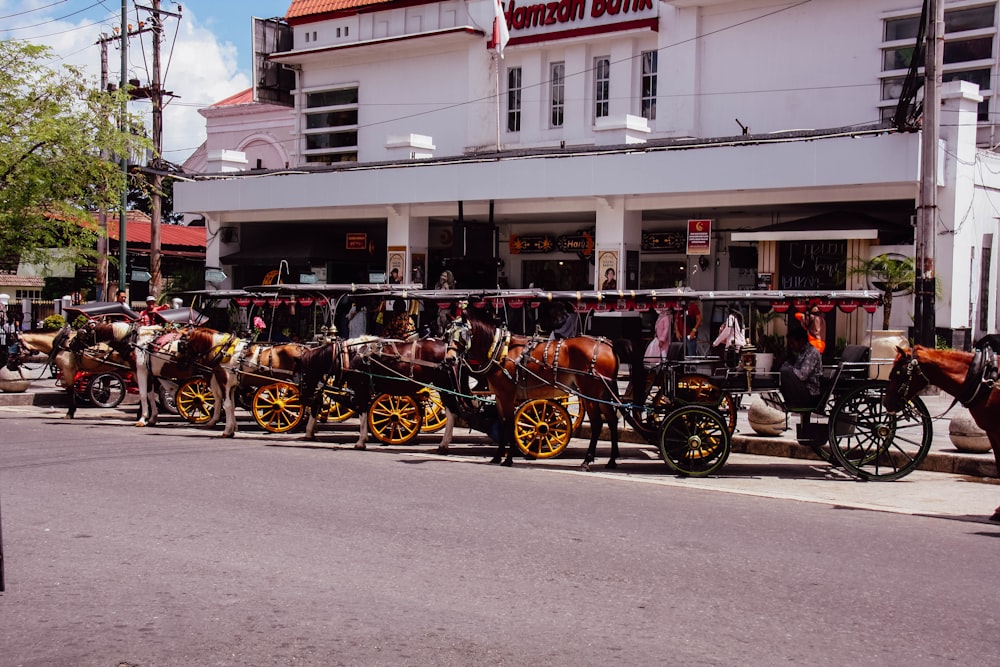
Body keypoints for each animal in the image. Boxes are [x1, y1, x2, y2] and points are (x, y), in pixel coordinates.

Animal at [296, 334, 460, 454]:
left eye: (302, 373)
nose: (302, 399)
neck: (348, 355)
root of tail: (448, 348)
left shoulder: (361, 389)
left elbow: (363, 413)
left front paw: (361, 441)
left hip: (444, 386)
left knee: (451, 411)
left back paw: (444, 444)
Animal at [452, 310, 620, 470]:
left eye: (462, 335)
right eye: (448, 334)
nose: (450, 358)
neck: (501, 350)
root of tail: (608, 345)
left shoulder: (508, 396)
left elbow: (511, 423)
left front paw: (508, 459)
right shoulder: (499, 396)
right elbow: (502, 422)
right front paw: (498, 456)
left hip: (589, 393)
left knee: (597, 423)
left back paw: (587, 460)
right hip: (603, 394)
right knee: (612, 420)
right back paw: (611, 460)